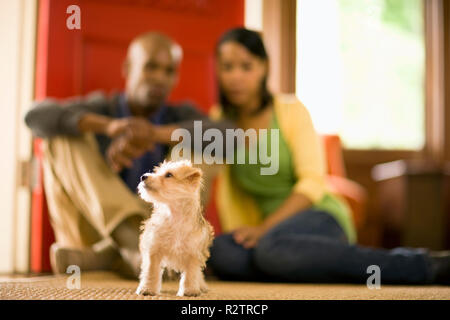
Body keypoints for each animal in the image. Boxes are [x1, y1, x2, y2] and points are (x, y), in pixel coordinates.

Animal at [134, 160, 214, 298]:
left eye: (169, 175)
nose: (143, 176)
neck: (175, 217)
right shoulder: (154, 250)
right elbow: (151, 271)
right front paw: (148, 289)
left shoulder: (193, 254)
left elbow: (191, 274)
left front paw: (189, 291)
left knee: (198, 274)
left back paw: (201, 286)